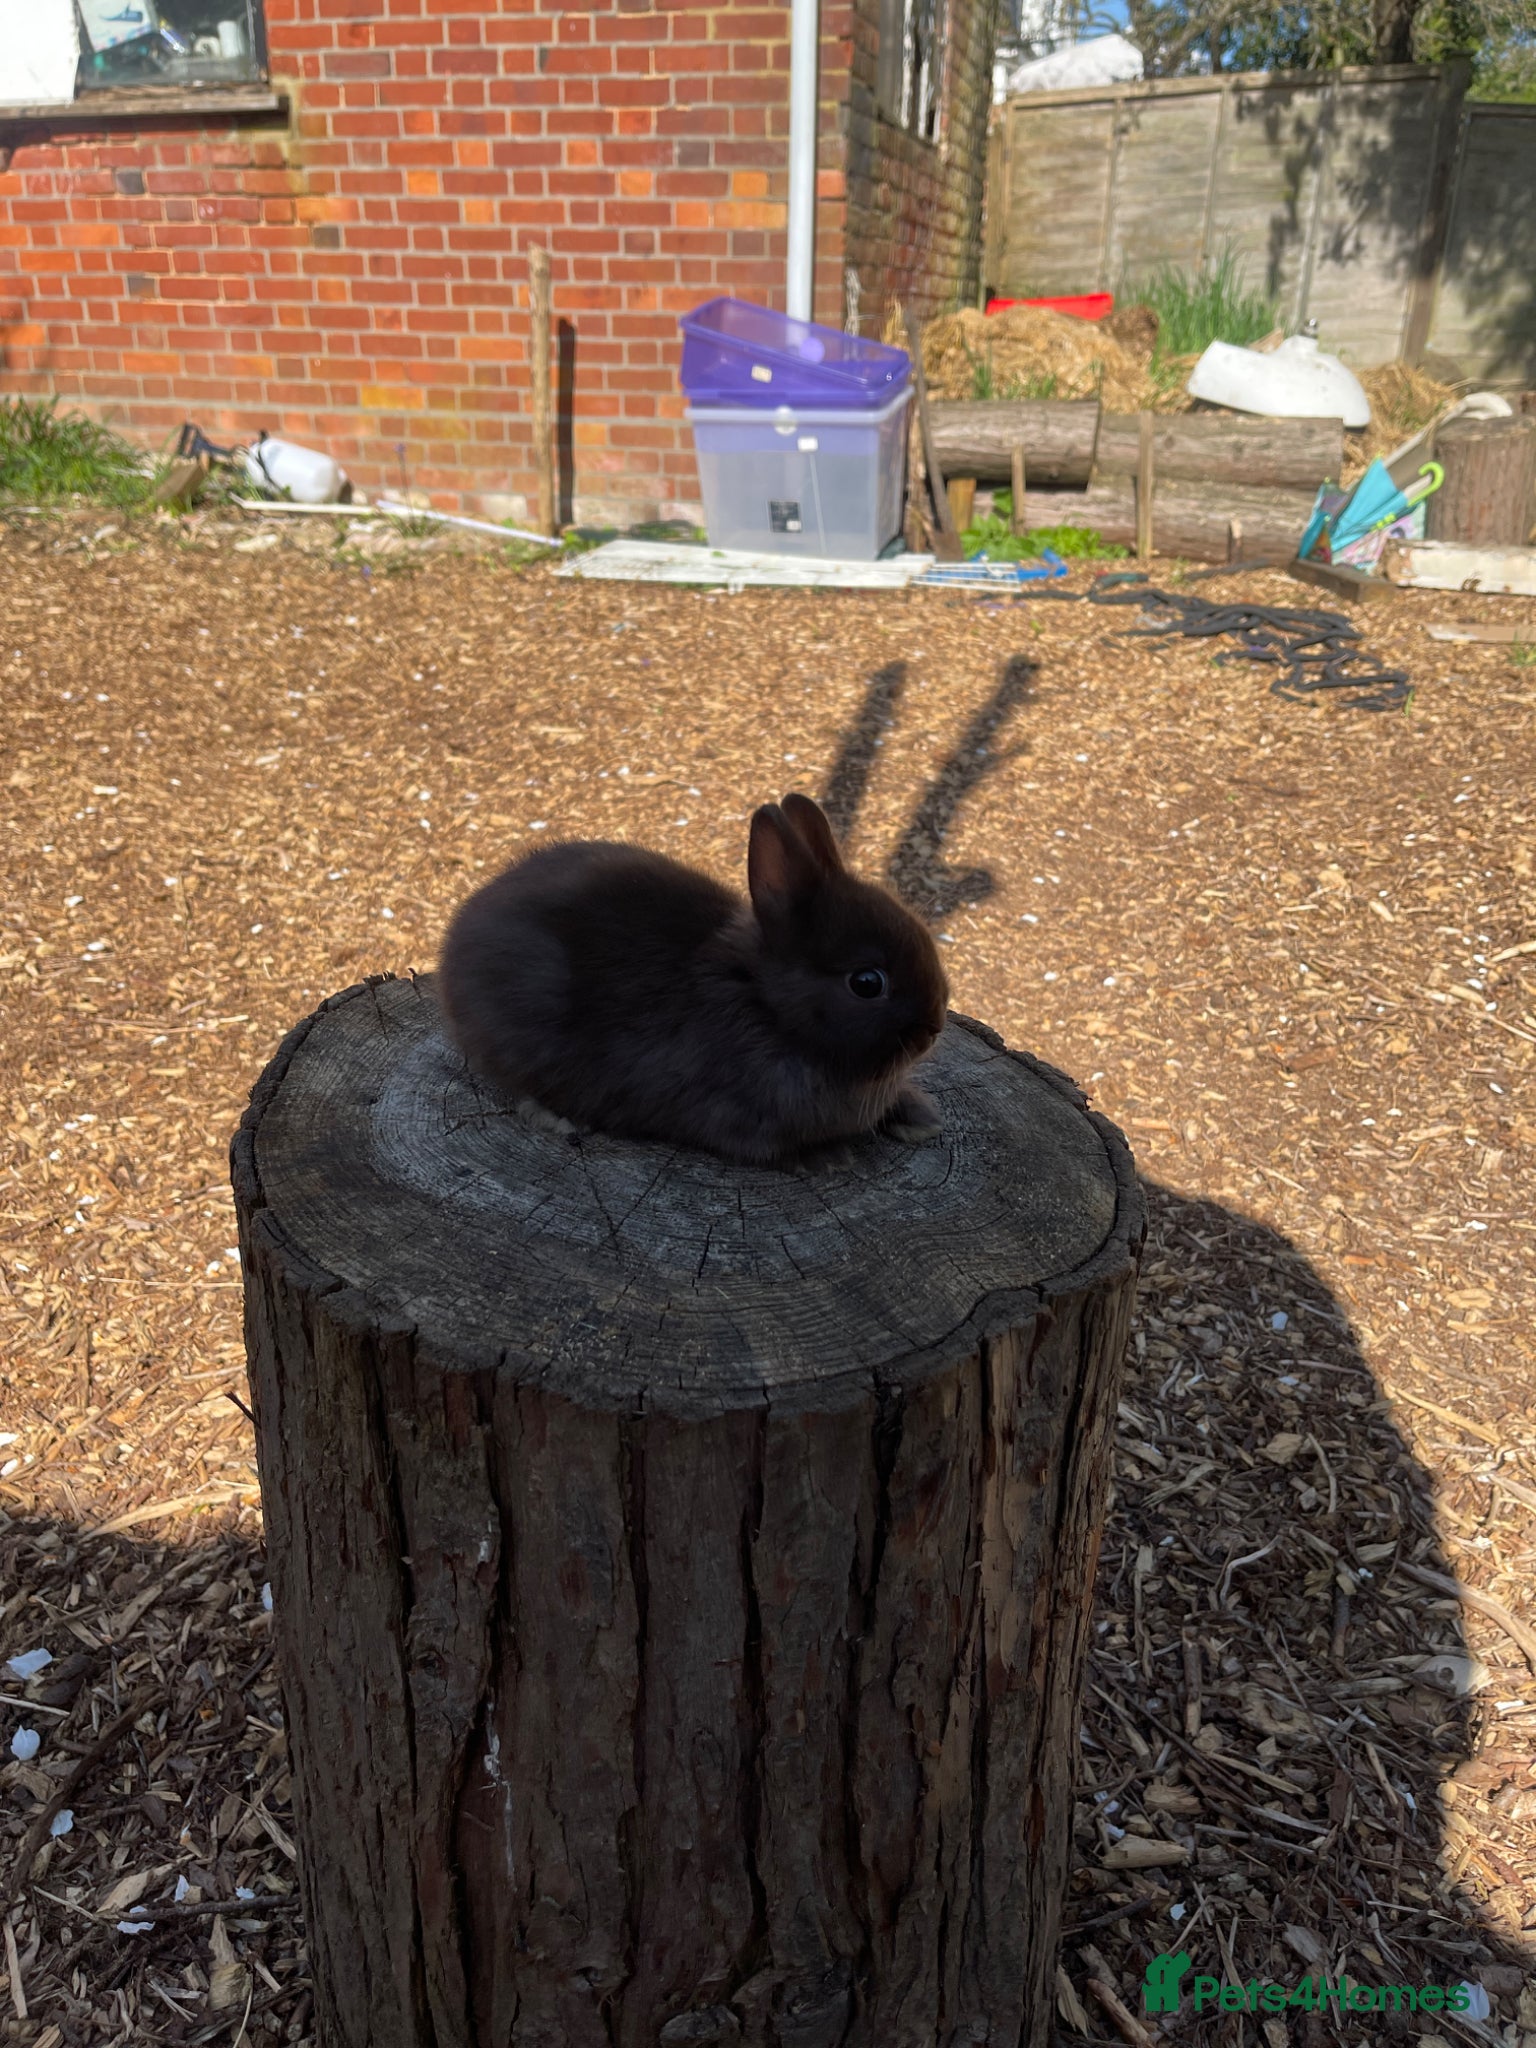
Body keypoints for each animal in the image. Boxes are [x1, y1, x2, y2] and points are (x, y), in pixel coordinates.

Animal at [435, 791, 950, 1165]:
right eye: (867, 982)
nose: (933, 1029)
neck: (767, 1007)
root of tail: (461, 928)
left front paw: (920, 1118)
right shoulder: (735, 1117)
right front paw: (831, 1158)